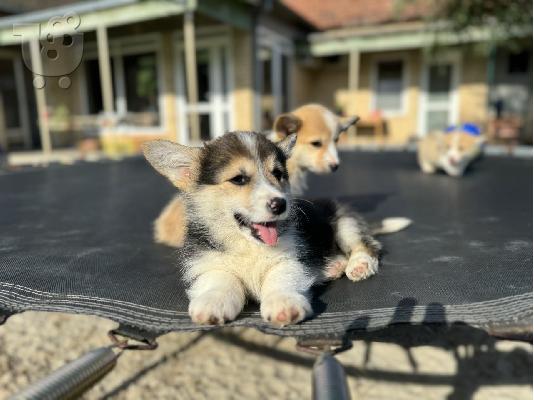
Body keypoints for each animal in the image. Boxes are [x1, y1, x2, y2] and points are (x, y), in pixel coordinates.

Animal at [142, 133, 410, 326]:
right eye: (239, 179)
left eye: (278, 174)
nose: (280, 204)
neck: (249, 246)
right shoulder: (206, 264)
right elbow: (221, 279)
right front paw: (212, 303)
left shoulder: (291, 260)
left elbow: (279, 278)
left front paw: (283, 304)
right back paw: (333, 266)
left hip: (345, 223)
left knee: (367, 245)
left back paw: (360, 265)